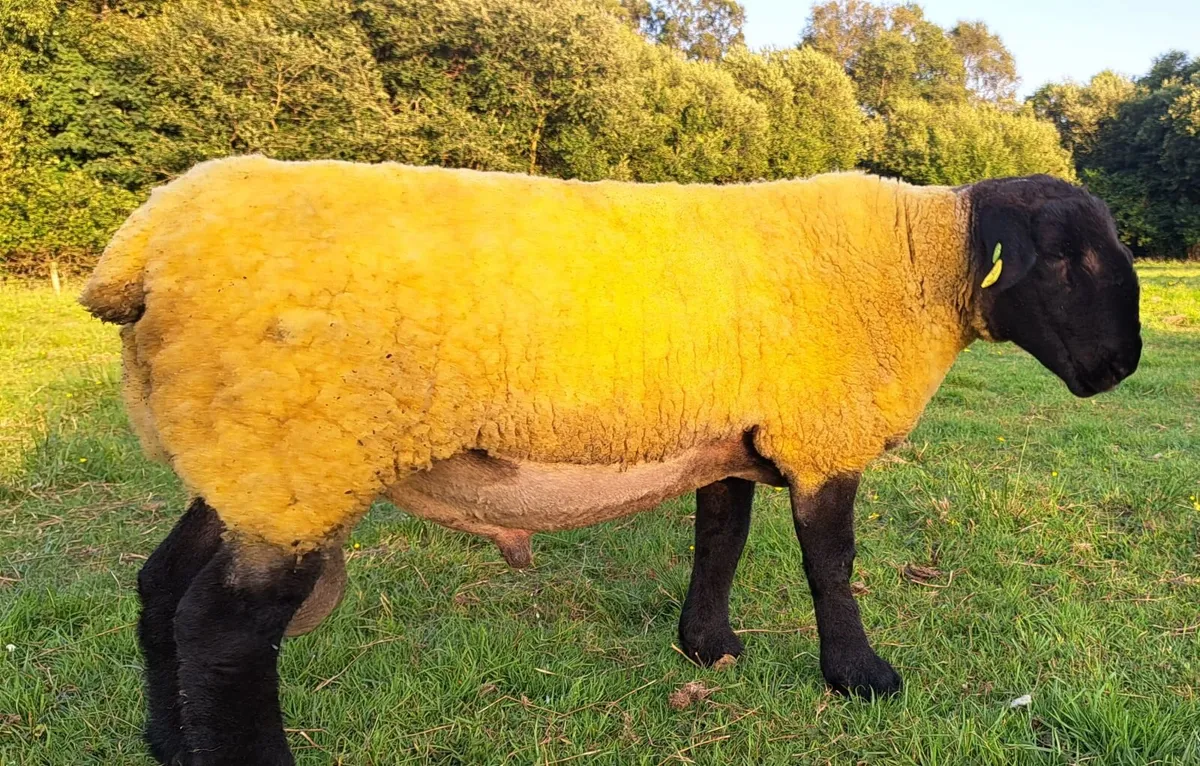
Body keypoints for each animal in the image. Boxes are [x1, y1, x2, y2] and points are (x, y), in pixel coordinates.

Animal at [80, 156, 1142, 766]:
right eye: (1066, 258)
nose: (1123, 365)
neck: (920, 268)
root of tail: (145, 244)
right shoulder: (819, 433)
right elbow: (831, 565)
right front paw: (860, 677)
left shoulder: (731, 433)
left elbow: (720, 540)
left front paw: (706, 646)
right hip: (299, 450)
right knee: (223, 633)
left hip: (241, 460)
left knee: (160, 591)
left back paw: (167, 744)